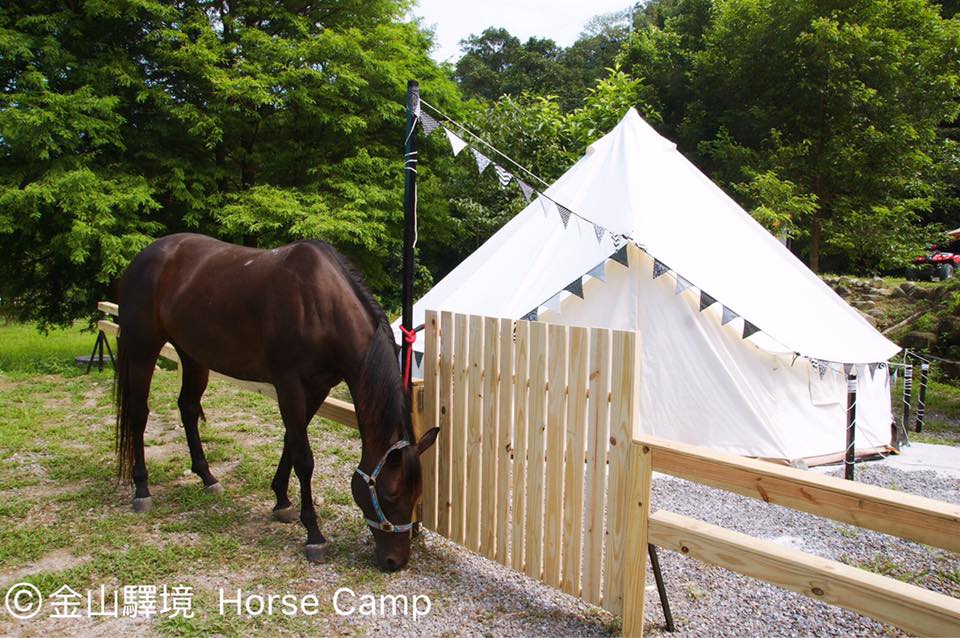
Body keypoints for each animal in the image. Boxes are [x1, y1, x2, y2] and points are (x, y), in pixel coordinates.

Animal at [115, 236, 438, 576]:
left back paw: (207, 477)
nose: (395, 561)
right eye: (391, 494)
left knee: (188, 408)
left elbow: (290, 441)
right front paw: (313, 534)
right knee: (139, 413)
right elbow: (304, 458)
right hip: (143, 348)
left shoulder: (319, 387)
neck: (320, 306)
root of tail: (144, 257)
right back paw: (142, 490)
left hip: (191, 354)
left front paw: (282, 500)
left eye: (417, 493)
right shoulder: (290, 386)